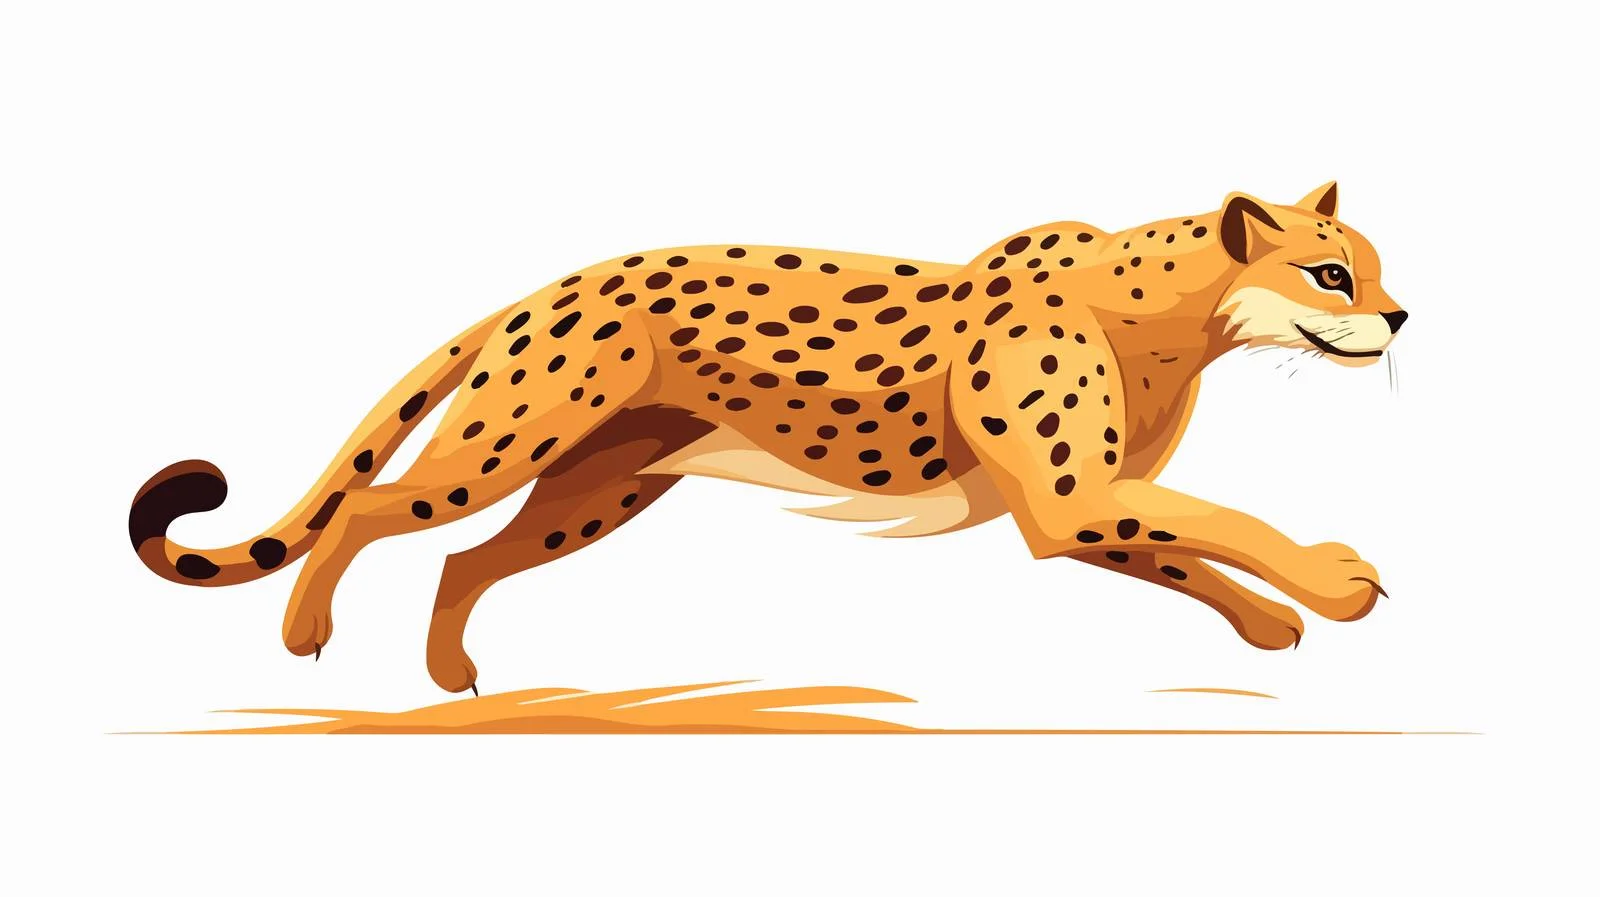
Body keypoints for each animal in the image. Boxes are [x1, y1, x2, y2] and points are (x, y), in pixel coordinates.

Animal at [129, 182, 1409, 694]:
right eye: (1329, 271)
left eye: (1372, 266)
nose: (1400, 318)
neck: (1173, 315)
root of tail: (547, 286)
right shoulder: (1067, 501)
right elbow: (1220, 520)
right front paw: (1334, 584)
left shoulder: (1064, 514)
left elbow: (1185, 551)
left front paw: (1272, 622)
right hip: (505, 450)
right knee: (372, 508)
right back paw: (305, 634)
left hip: (597, 490)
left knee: (463, 558)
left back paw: (453, 676)